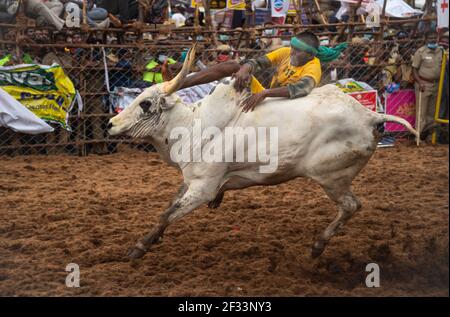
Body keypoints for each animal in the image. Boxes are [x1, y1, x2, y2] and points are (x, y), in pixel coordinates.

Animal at [107, 47, 416, 260]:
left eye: (146, 104)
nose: (111, 123)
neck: (193, 124)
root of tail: (370, 116)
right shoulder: (191, 182)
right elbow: (169, 207)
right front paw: (149, 241)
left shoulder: (204, 187)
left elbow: (168, 214)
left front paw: (139, 248)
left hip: (331, 177)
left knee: (351, 206)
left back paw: (318, 246)